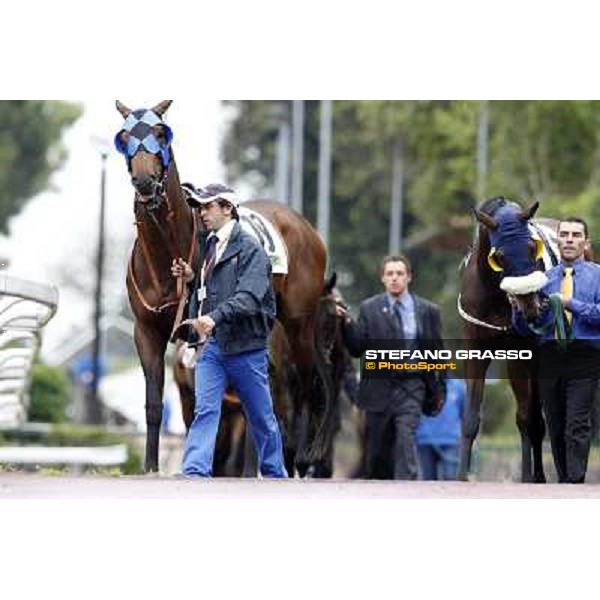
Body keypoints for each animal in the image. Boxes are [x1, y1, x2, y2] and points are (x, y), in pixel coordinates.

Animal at [115, 99, 330, 474]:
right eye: (125, 137)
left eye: (160, 134)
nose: (144, 183)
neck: (166, 254)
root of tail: (304, 226)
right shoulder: (146, 330)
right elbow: (155, 403)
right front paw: (151, 466)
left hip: (298, 321)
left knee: (307, 383)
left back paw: (305, 455)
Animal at [460, 197, 552, 482]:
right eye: (498, 257)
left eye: (532, 248)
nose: (531, 307)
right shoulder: (475, 346)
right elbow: (470, 416)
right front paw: (460, 475)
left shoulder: (520, 351)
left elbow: (525, 417)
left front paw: (525, 475)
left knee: (536, 418)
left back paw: (538, 476)